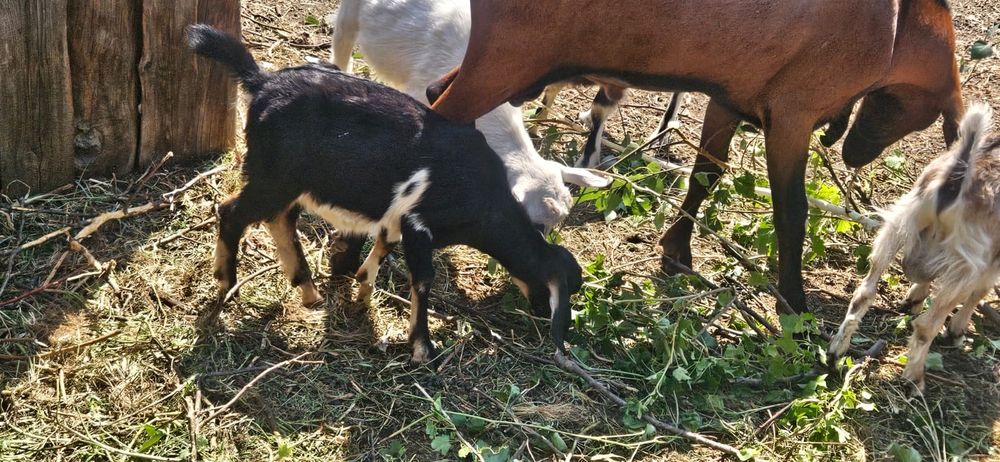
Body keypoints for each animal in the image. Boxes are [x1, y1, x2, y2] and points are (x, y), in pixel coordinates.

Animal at [187, 24, 583, 363]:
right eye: (556, 290)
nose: (539, 313)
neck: (484, 199)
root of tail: (262, 82)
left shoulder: (398, 219)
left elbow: (382, 246)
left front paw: (363, 290)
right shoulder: (420, 223)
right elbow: (423, 279)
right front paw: (422, 347)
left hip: (289, 181)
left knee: (279, 218)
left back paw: (307, 289)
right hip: (274, 175)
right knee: (232, 212)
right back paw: (227, 285)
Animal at [427, 0, 964, 314]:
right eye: (917, 114)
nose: (854, 156)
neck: (895, 28)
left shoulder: (730, 99)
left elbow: (706, 175)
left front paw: (676, 251)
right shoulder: (793, 115)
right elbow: (791, 212)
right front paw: (793, 301)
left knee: (433, 94)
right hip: (506, 58)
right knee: (436, 116)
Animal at [829, 103, 998, 394]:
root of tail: (954, 181)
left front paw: (914, 298)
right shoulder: (988, 259)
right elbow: (980, 292)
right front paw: (956, 330)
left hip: (899, 222)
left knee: (864, 292)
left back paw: (836, 350)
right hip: (964, 263)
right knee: (927, 325)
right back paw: (914, 379)